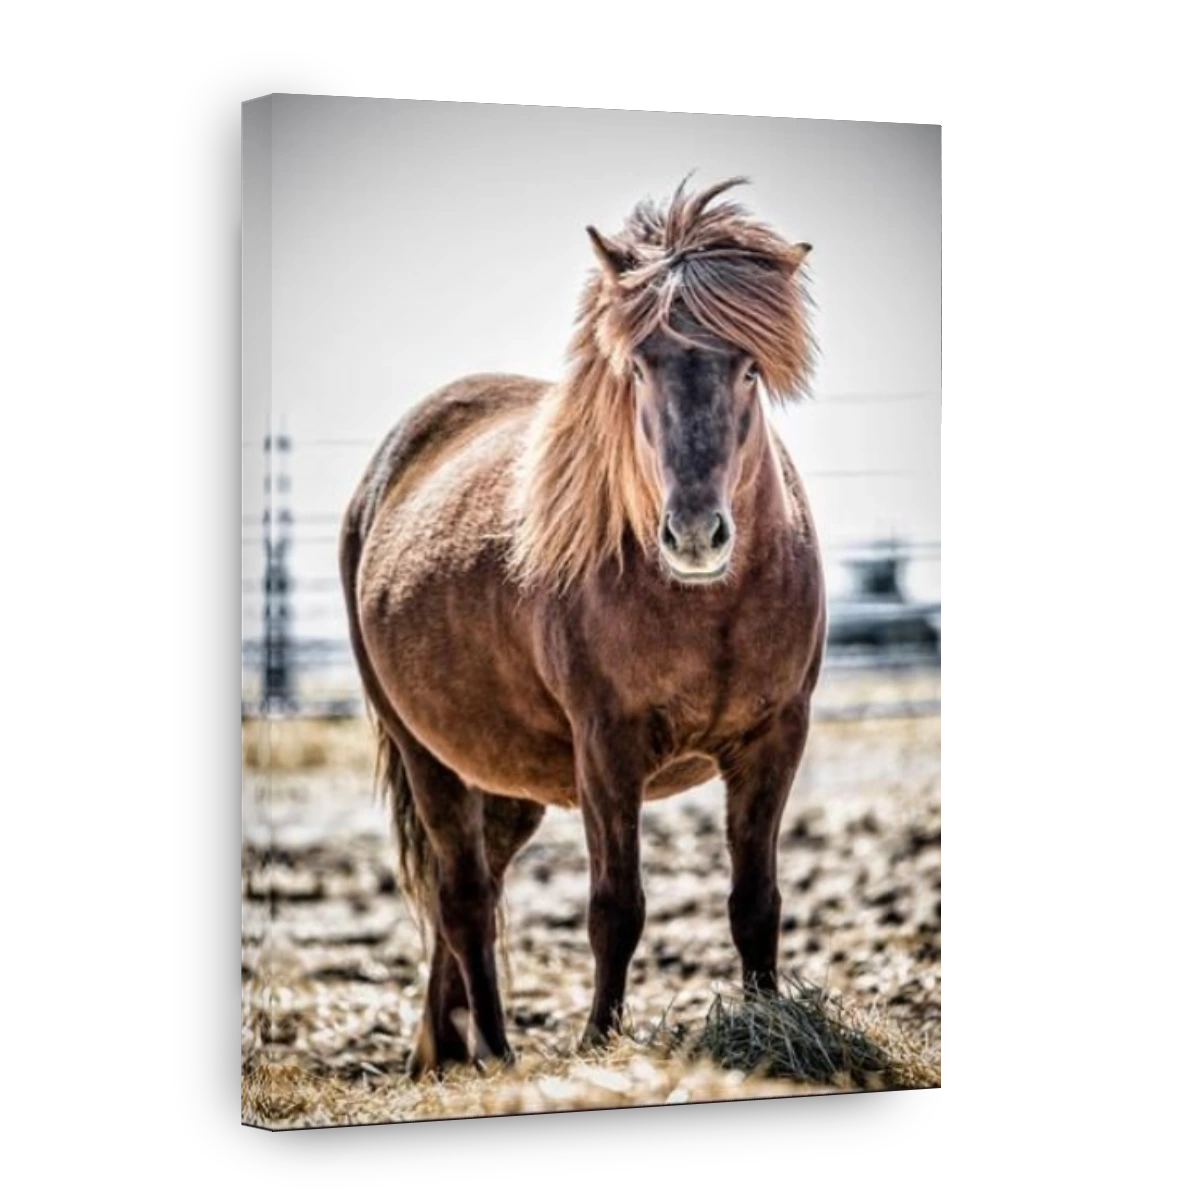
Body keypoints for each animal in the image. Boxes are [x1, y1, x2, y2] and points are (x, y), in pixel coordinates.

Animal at [339, 176, 826, 1079]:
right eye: (638, 364)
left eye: (748, 367)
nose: (695, 534)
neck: (709, 608)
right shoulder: (608, 745)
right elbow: (615, 907)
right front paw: (600, 1041)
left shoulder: (776, 737)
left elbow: (756, 900)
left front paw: (767, 1021)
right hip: (427, 755)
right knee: (464, 901)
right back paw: (495, 1056)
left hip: (503, 779)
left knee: (473, 896)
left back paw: (442, 1056)